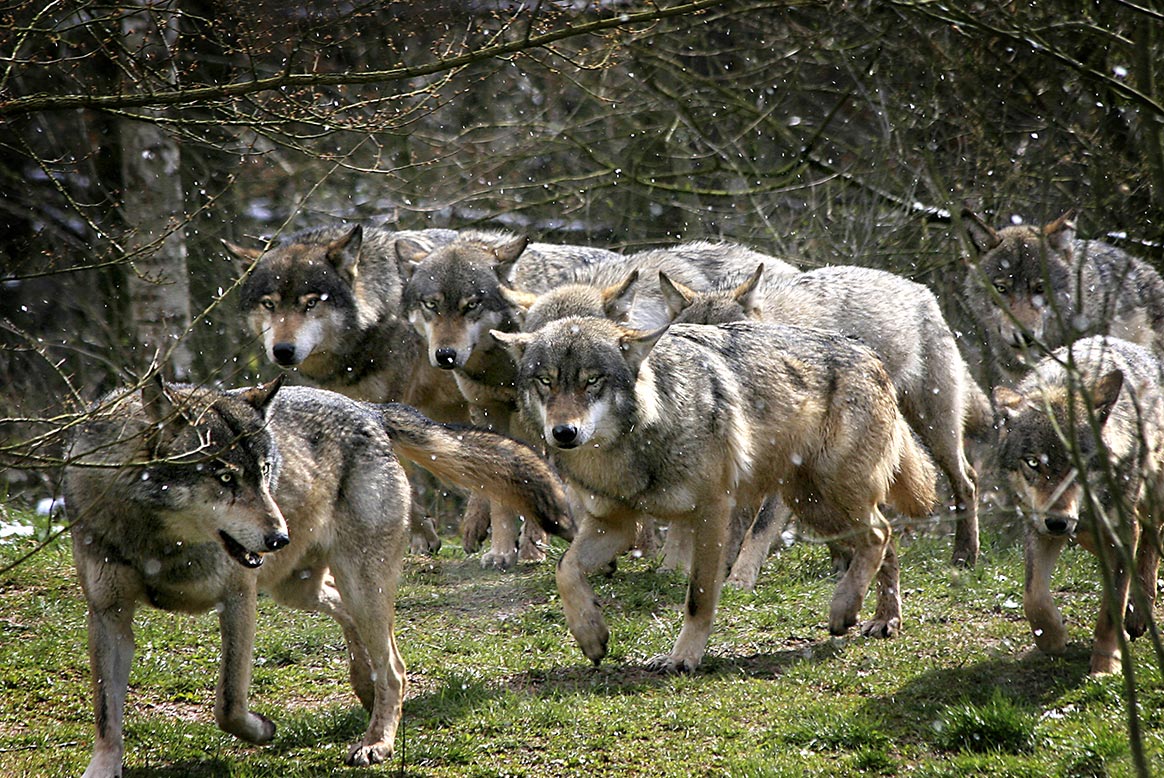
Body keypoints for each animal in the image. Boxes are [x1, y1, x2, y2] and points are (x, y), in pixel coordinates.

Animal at [64, 375, 572, 773]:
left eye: (264, 471)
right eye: (225, 478)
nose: (277, 538)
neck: (155, 537)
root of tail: (369, 410)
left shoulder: (238, 599)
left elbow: (228, 703)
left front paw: (262, 729)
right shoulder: (108, 616)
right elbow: (107, 715)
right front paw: (102, 769)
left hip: (355, 583)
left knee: (395, 665)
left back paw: (377, 741)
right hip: (299, 588)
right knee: (350, 621)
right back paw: (363, 684)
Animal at [491, 319, 935, 670]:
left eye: (592, 381)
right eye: (546, 381)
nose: (564, 433)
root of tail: (869, 353)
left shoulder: (711, 512)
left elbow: (698, 597)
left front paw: (683, 658)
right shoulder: (616, 523)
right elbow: (565, 569)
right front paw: (590, 635)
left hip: (830, 497)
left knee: (880, 534)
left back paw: (847, 609)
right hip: (816, 508)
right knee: (886, 542)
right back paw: (881, 619)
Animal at [661, 264, 996, 580]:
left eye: (731, 336)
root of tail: (919, 290)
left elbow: (759, 528)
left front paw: (739, 580)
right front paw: (672, 569)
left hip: (933, 432)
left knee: (967, 481)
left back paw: (965, 555)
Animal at [991, 335, 1164, 675]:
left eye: (1078, 464)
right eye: (1033, 462)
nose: (1057, 522)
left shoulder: (1121, 530)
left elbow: (1111, 608)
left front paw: (1105, 664)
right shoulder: (1037, 526)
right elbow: (1033, 597)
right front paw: (1052, 638)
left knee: (1150, 543)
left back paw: (1139, 612)